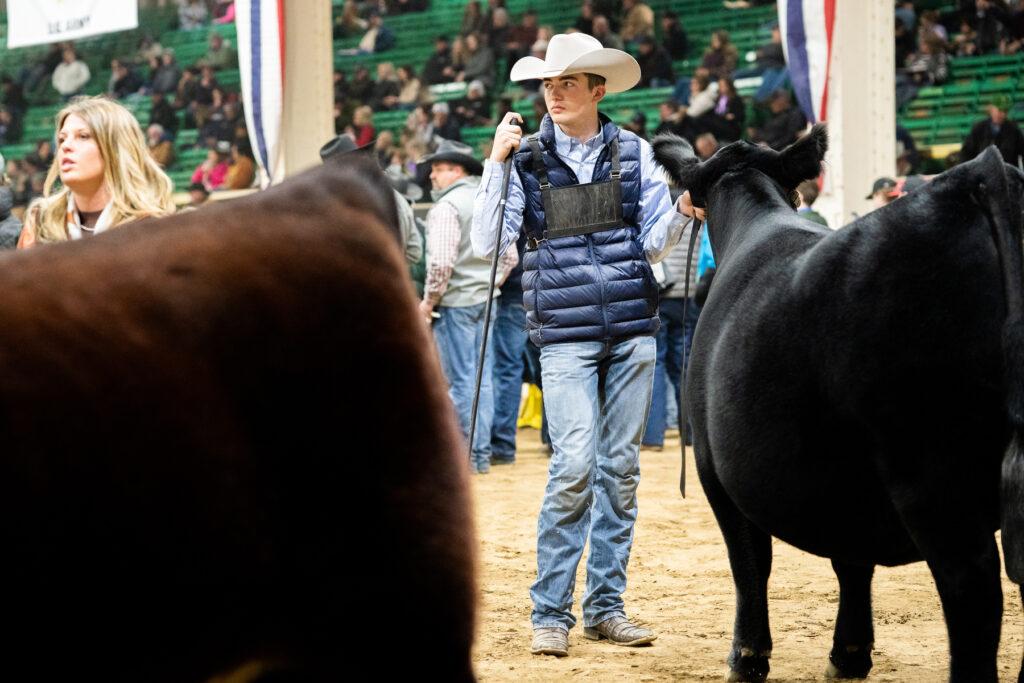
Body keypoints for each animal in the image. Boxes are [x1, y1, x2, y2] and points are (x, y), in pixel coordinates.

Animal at [655, 125, 1024, 679]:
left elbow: (750, 562)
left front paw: (747, 656)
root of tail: (981, 173)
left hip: (933, 477)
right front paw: (850, 653)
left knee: (971, 593)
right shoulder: (847, 483)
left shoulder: (713, 469)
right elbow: (851, 559)